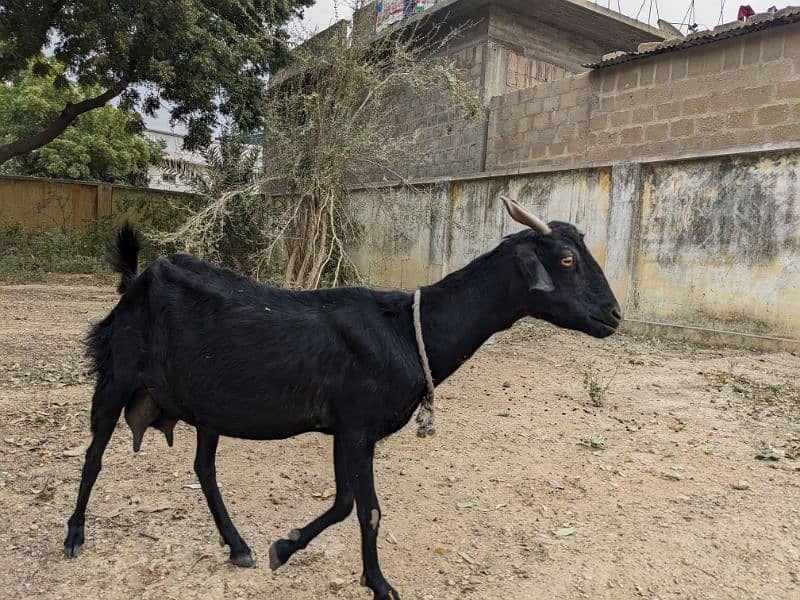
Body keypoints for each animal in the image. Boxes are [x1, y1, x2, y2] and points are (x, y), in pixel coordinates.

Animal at [65, 196, 620, 596]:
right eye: (566, 259)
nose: (613, 315)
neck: (407, 330)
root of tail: (136, 281)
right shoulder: (358, 428)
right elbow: (368, 510)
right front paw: (379, 585)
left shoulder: (346, 429)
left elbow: (343, 501)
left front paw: (283, 547)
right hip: (116, 377)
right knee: (93, 457)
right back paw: (73, 536)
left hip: (205, 406)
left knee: (203, 468)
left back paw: (239, 546)